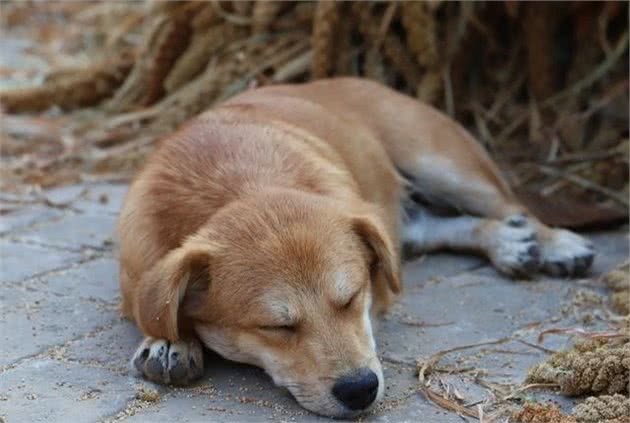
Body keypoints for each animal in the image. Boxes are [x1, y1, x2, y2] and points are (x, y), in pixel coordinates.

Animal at [118, 78, 596, 420]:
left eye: (351, 298)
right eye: (276, 327)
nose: (360, 390)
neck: (240, 185)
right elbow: (158, 306)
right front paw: (171, 340)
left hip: (444, 165)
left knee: (514, 208)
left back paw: (552, 243)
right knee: (437, 227)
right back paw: (507, 242)